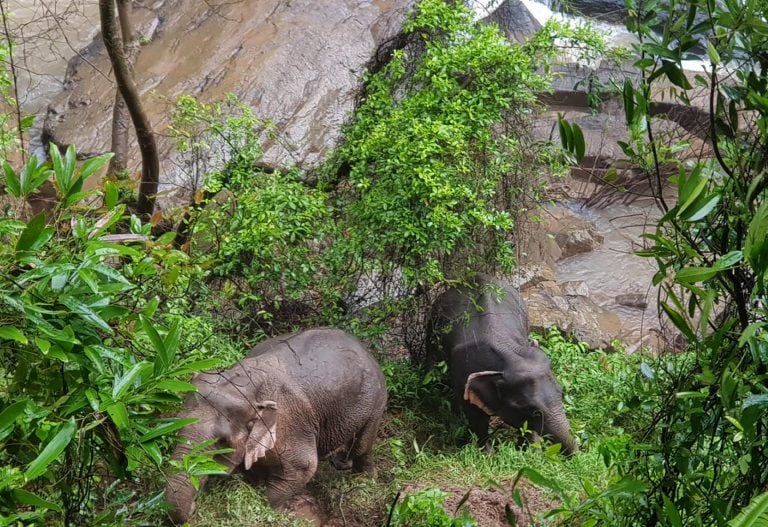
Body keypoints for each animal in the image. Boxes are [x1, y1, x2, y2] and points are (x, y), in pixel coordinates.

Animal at [165, 328, 388, 524]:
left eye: (221, 442)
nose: (194, 508)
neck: (243, 384)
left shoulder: (291, 424)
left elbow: (304, 467)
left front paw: (278, 510)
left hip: (377, 401)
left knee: (363, 446)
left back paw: (366, 479)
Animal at [426, 278, 576, 456]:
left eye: (562, 394)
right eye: (532, 410)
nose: (577, 455)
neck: (508, 354)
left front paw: (527, 451)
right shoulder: (463, 373)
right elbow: (476, 418)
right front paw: (488, 454)